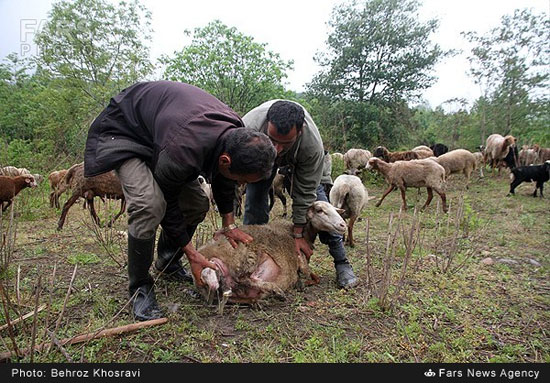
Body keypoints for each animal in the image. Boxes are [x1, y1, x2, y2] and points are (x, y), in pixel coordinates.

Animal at [196, 201, 348, 306]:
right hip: (247, 255)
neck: (304, 235)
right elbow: (314, 277)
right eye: (320, 210)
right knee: (242, 277)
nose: (343, 225)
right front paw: (304, 283)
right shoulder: (302, 262)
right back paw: (276, 290)